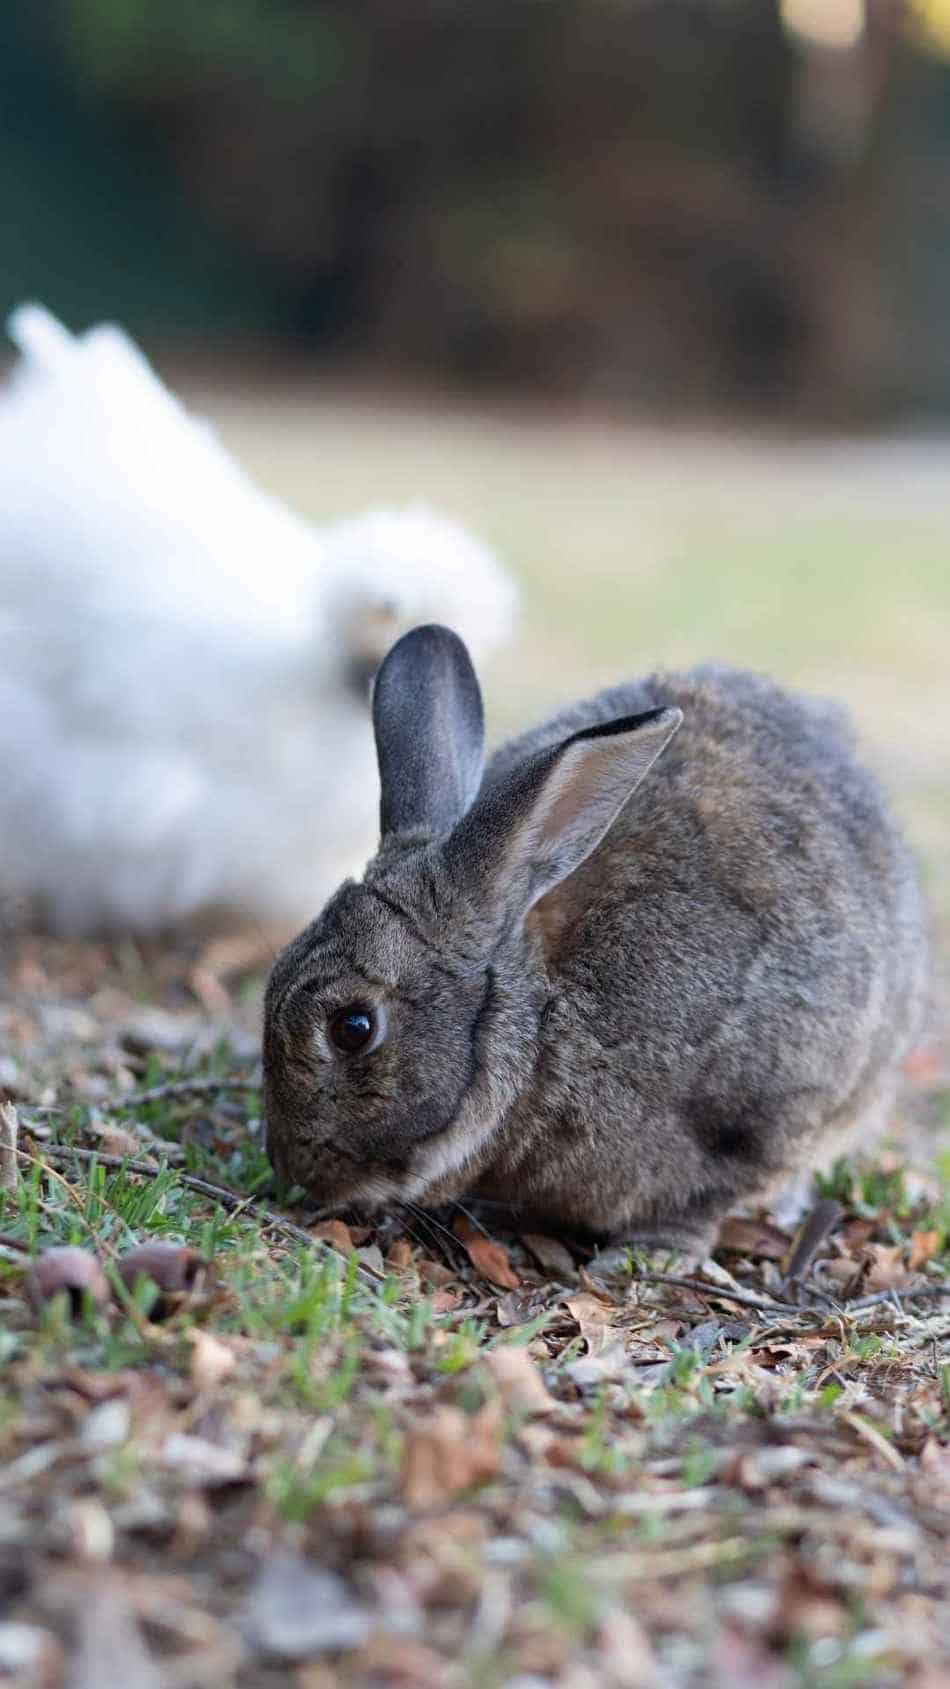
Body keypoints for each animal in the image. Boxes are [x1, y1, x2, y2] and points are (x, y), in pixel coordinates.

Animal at [262, 628, 926, 1249]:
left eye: (353, 1028)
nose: (293, 1167)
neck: (545, 1012)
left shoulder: (762, 1109)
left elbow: (709, 1197)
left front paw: (662, 1250)